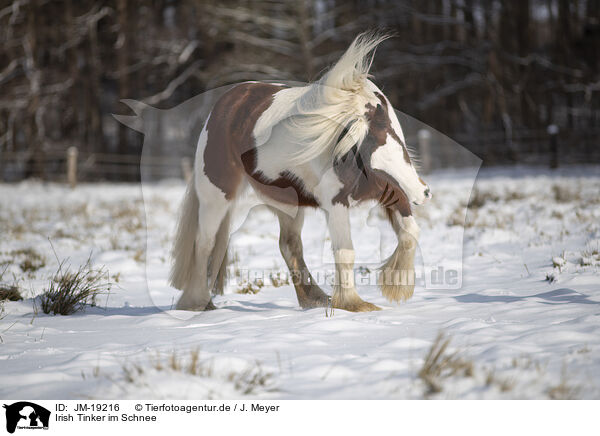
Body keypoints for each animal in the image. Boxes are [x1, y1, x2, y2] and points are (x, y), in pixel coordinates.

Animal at [169, 34, 432, 314]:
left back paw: (313, 298)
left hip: (289, 205)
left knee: (289, 246)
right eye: (358, 138)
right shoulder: (336, 204)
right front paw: (353, 304)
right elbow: (345, 252)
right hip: (216, 198)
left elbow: (410, 233)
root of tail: (223, 106)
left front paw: (396, 286)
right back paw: (199, 303)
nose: (423, 192)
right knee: (204, 244)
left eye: (391, 132)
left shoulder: (393, 194)